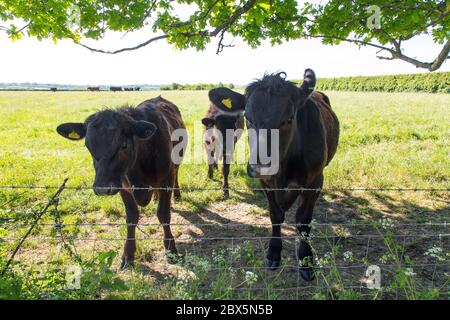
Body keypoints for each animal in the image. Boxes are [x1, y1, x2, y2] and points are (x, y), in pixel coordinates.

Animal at [57, 95, 187, 268]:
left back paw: (177, 194)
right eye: (88, 146)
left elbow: (163, 214)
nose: (102, 188)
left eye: (123, 145)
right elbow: (131, 218)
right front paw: (128, 254)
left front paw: (171, 249)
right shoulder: (123, 186)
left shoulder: (166, 178)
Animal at [209, 69, 340, 280]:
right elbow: (275, 214)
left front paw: (306, 261)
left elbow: (303, 221)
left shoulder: (314, 180)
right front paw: (273, 253)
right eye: (248, 118)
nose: (260, 167)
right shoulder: (266, 183)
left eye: (288, 120)